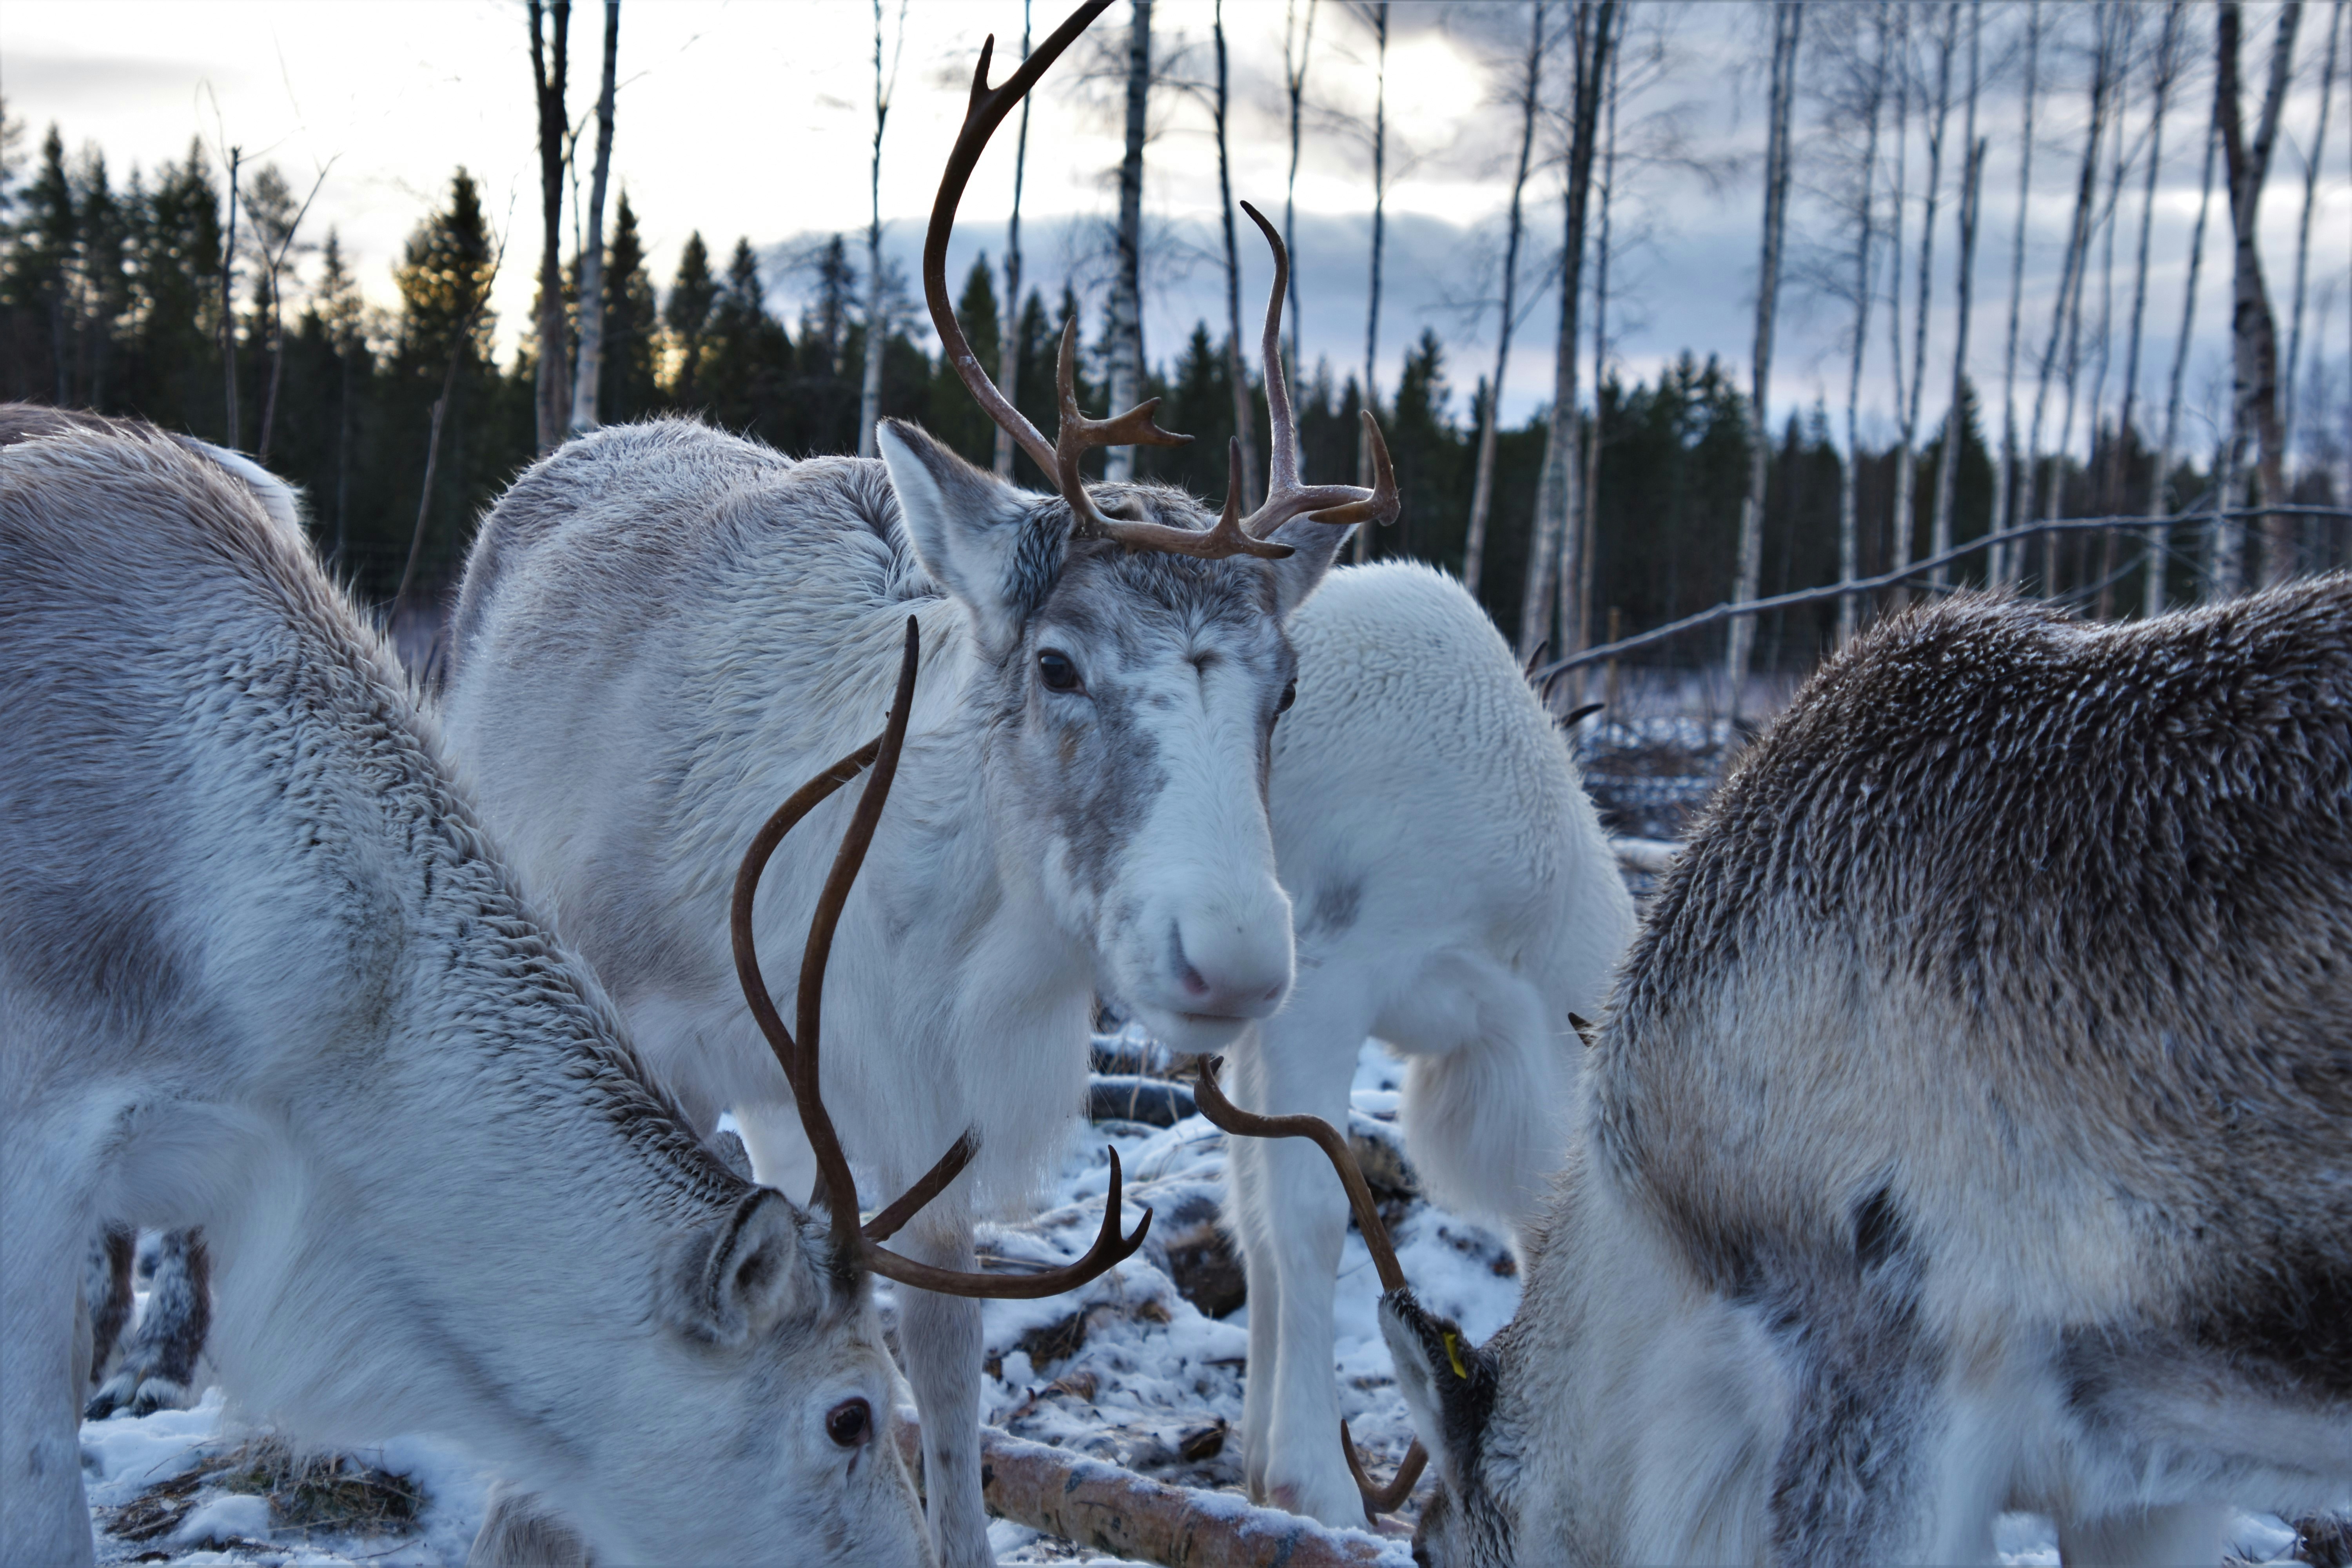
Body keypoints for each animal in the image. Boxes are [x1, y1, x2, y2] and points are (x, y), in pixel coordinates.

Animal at [431, 6, 1396, 1561]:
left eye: (1284, 686)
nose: (1238, 956)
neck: (946, 934)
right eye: (1058, 662)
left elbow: (937, 1364)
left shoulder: (918, 1119)